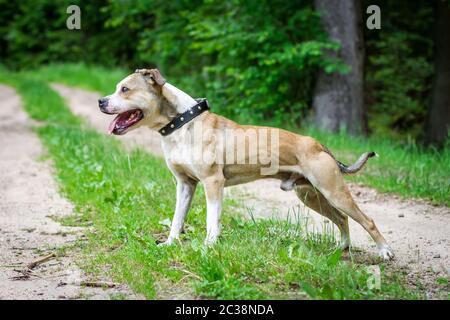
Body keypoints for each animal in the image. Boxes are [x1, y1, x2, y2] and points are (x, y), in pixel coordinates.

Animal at [97, 68, 394, 260]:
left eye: (125, 89)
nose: (101, 101)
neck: (182, 123)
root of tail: (318, 144)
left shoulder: (213, 183)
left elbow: (212, 220)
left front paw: (208, 248)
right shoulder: (185, 185)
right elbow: (176, 219)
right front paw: (170, 245)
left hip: (333, 191)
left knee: (366, 220)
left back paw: (385, 251)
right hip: (311, 195)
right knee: (341, 218)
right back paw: (341, 249)